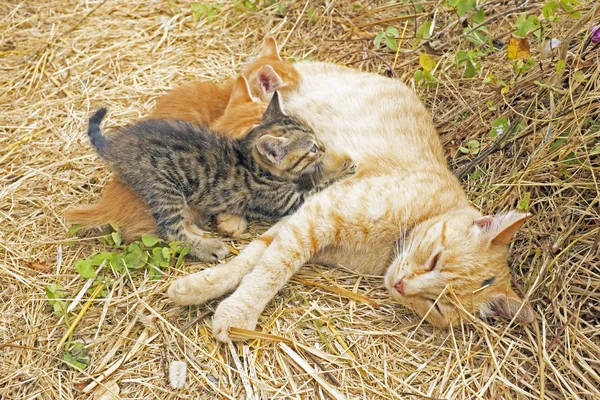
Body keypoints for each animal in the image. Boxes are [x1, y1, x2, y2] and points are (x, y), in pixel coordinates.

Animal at [165, 61, 536, 340]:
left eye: (438, 305)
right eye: (434, 259)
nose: (401, 286)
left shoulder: (300, 223)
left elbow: (257, 258)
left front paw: (207, 291)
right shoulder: (315, 217)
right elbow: (266, 270)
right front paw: (232, 309)